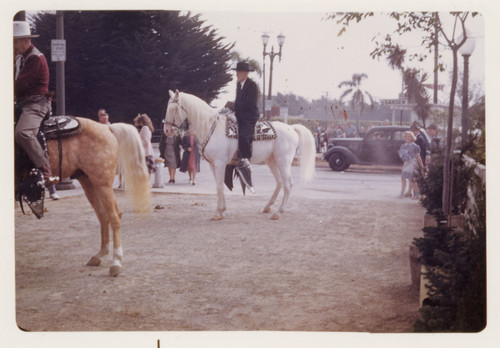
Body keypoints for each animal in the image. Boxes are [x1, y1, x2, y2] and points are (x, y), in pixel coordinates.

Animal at [17, 118, 150, 276]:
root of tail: (107, 128)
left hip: (102, 183)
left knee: (114, 216)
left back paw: (116, 262)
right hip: (89, 183)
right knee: (103, 216)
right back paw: (100, 255)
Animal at [164, 89, 314, 220]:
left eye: (174, 109)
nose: (167, 130)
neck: (212, 128)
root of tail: (291, 128)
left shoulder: (220, 163)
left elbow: (219, 186)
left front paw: (218, 213)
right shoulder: (213, 165)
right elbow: (219, 186)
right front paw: (222, 211)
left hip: (283, 161)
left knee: (288, 184)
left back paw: (278, 212)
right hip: (271, 161)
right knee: (279, 182)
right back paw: (267, 207)